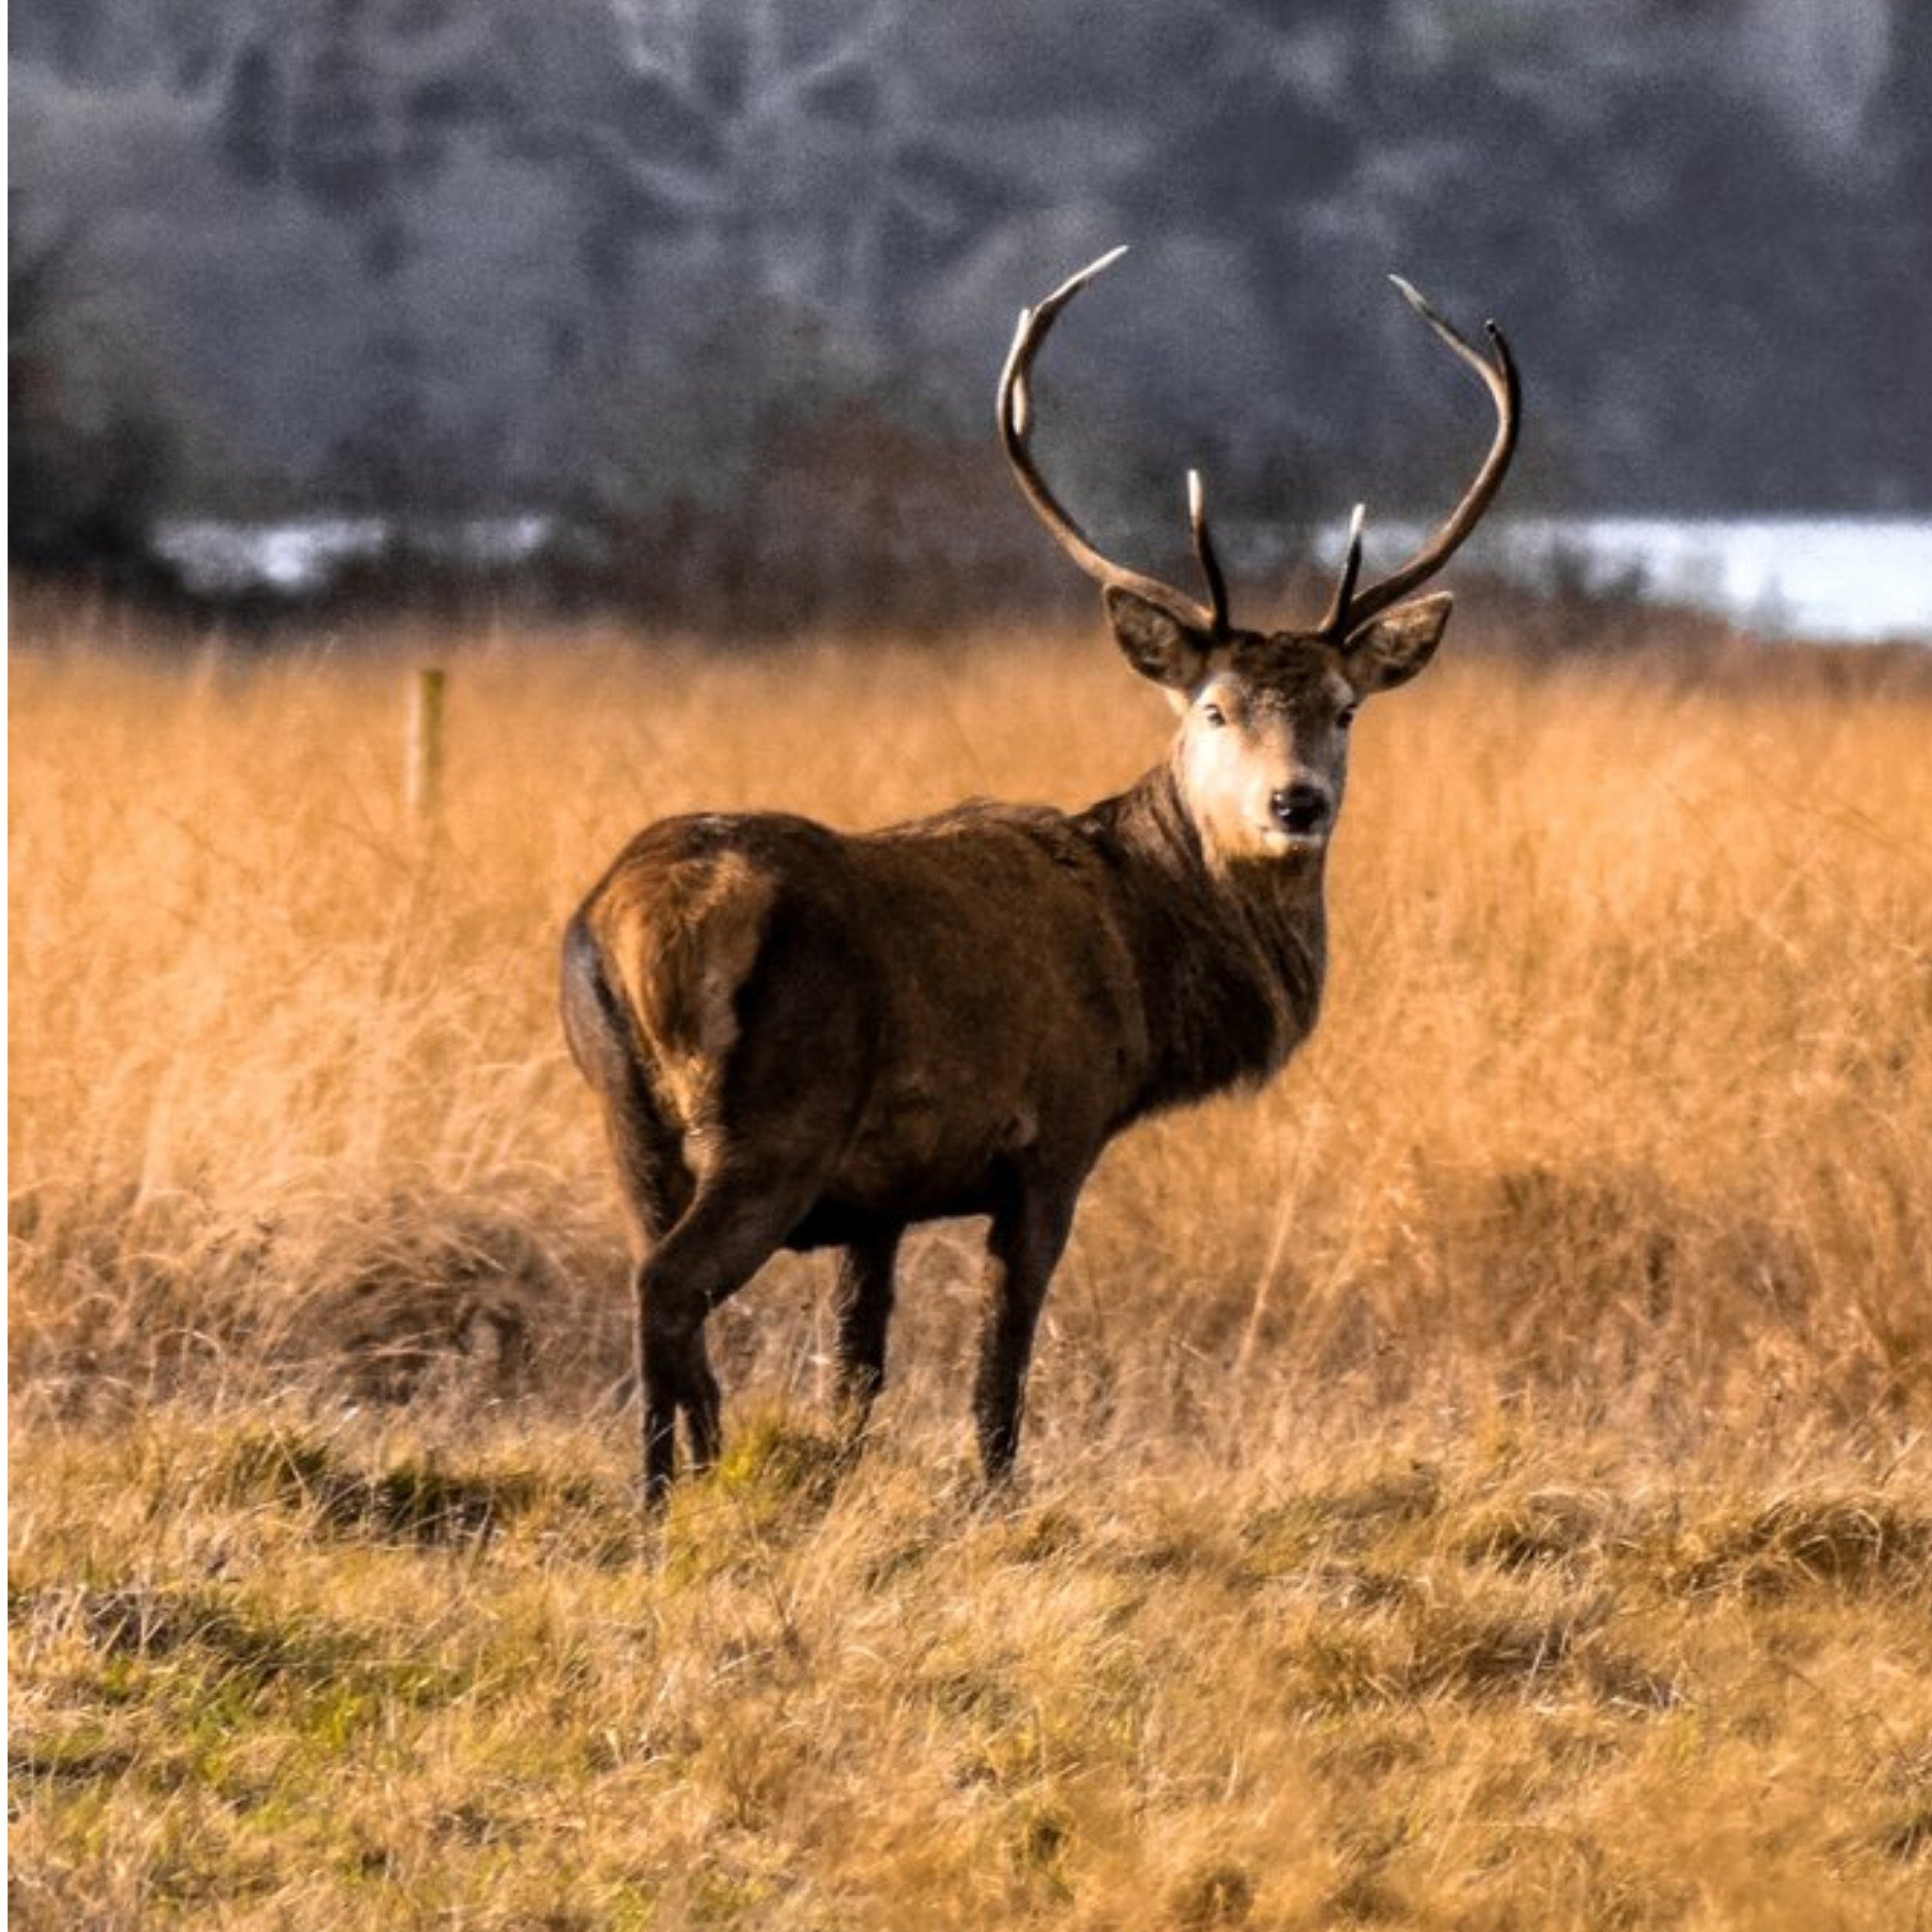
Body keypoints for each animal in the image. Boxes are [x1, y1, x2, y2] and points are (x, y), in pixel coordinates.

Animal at [562, 248, 1519, 1506]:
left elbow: (855, 1365)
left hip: (623, 1111)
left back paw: (678, 1478)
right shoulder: (1053, 1130)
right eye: (1213, 708)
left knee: (649, 1284)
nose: (1294, 803)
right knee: (668, 1287)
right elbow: (1000, 1358)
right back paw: (676, 1490)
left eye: (1343, 707)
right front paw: (991, 1491)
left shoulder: (880, 1194)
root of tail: (639, 923)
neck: (1150, 981)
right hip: (777, 1114)